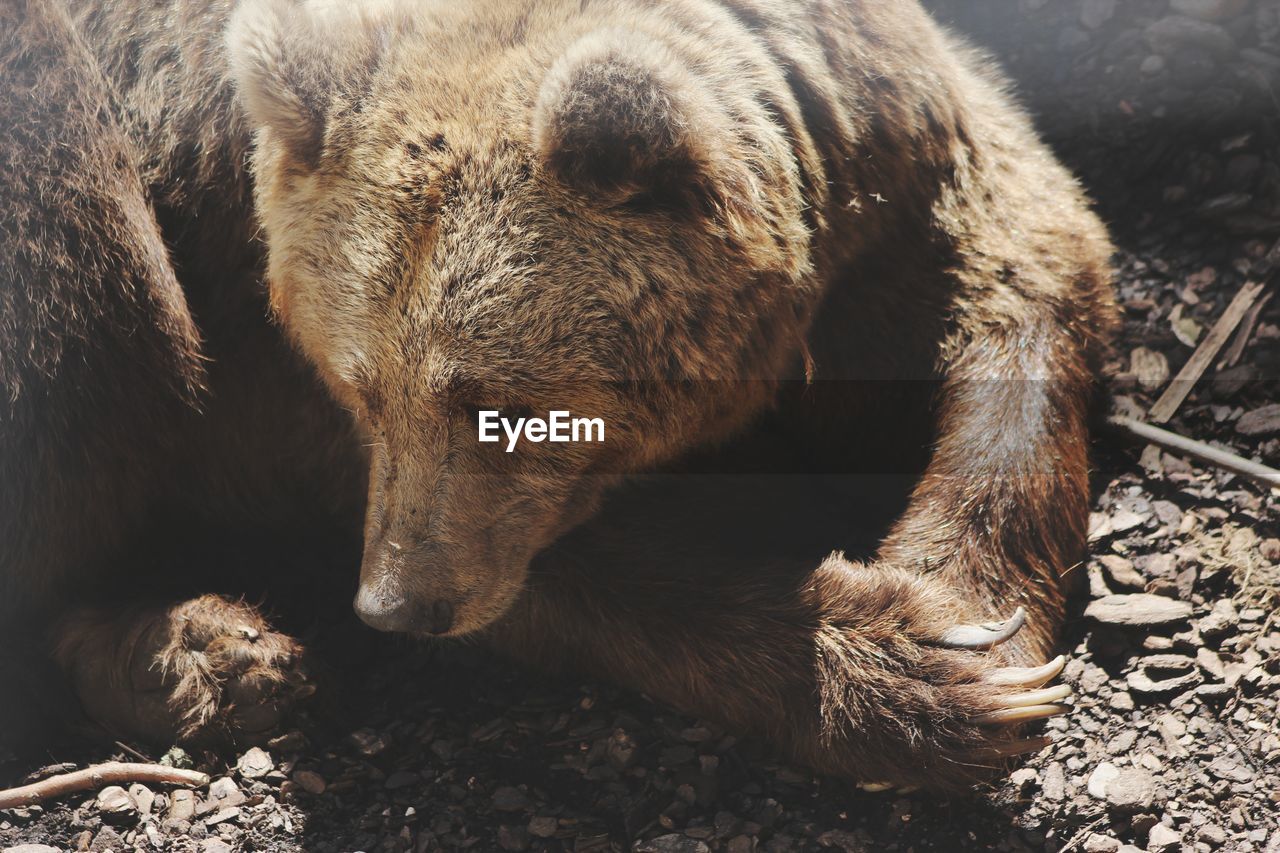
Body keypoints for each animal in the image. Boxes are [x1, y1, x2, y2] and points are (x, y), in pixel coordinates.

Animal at [0, 0, 1116, 788]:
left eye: (498, 398)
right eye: (361, 386)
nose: (397, 603)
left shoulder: (889, 141)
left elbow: (1029, 263)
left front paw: (971, 612)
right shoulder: (247, 318)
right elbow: (561, 573)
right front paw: (915, 660)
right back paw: (208, 653)